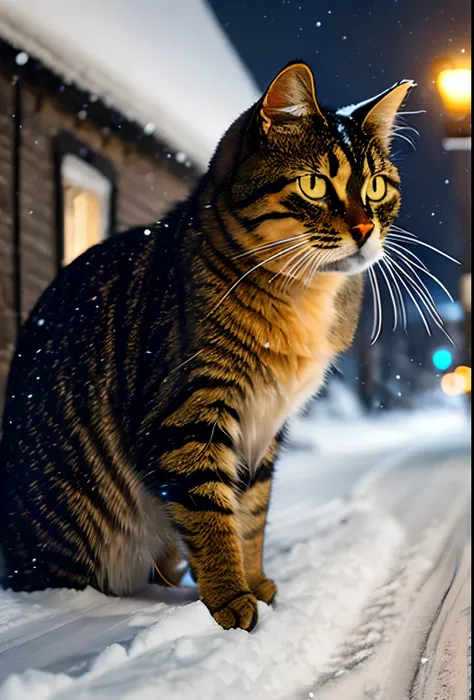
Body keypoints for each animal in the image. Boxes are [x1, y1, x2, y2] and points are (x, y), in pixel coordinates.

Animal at [0, 60, 414, 628]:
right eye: (314, 184)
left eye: (375, 187)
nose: (366, 228)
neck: (301, 295)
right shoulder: (189, 416)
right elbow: (211, 517)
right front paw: (231, 602)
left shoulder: (265, 428)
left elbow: (251, 512)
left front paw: (257, 585)